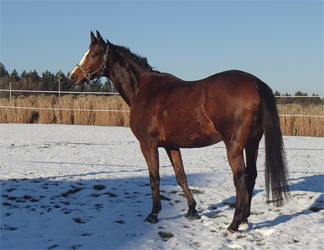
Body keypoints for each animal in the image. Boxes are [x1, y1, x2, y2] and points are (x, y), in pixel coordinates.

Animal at [69, 30, 290, 232]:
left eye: (94, 54)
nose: (73, 77)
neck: (143, 90)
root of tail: (255, 82)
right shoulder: (171, 145)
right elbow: (180, 176)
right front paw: (192, 210)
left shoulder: (148, 144)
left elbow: (154, 178)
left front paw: (153, 214)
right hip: (252, 143)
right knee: (251, 175)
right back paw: (244, 219)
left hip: (234, 145)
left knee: (240, 178)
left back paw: (234, 223)